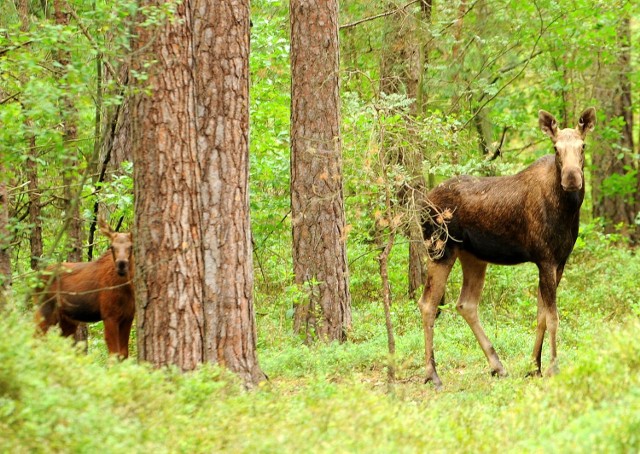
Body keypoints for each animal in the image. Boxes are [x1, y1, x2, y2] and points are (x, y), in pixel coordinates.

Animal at [35, 220, 135, 358]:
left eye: (131, 246)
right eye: (112, 247)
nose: (121, 264)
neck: (126, 288)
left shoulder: (129, 316)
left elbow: (124, 354)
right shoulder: (109, 315)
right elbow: (114, 353)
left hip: (68, 320)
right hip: (44, 309)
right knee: (35, 338)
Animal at [420, 107, 596, 390]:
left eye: (583, 146)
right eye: (556, 148)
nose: (571, 178)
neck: (568, 210)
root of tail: (421, 204)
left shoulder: (559, 261)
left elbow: (541, 316)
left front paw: (534, 366)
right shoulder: (545, 258)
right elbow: (553, 317)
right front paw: (553, 367)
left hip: (473, 257)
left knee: (465, 304)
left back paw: (497, 365)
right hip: (440, 250)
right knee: (428, 304)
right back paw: (432, 374)